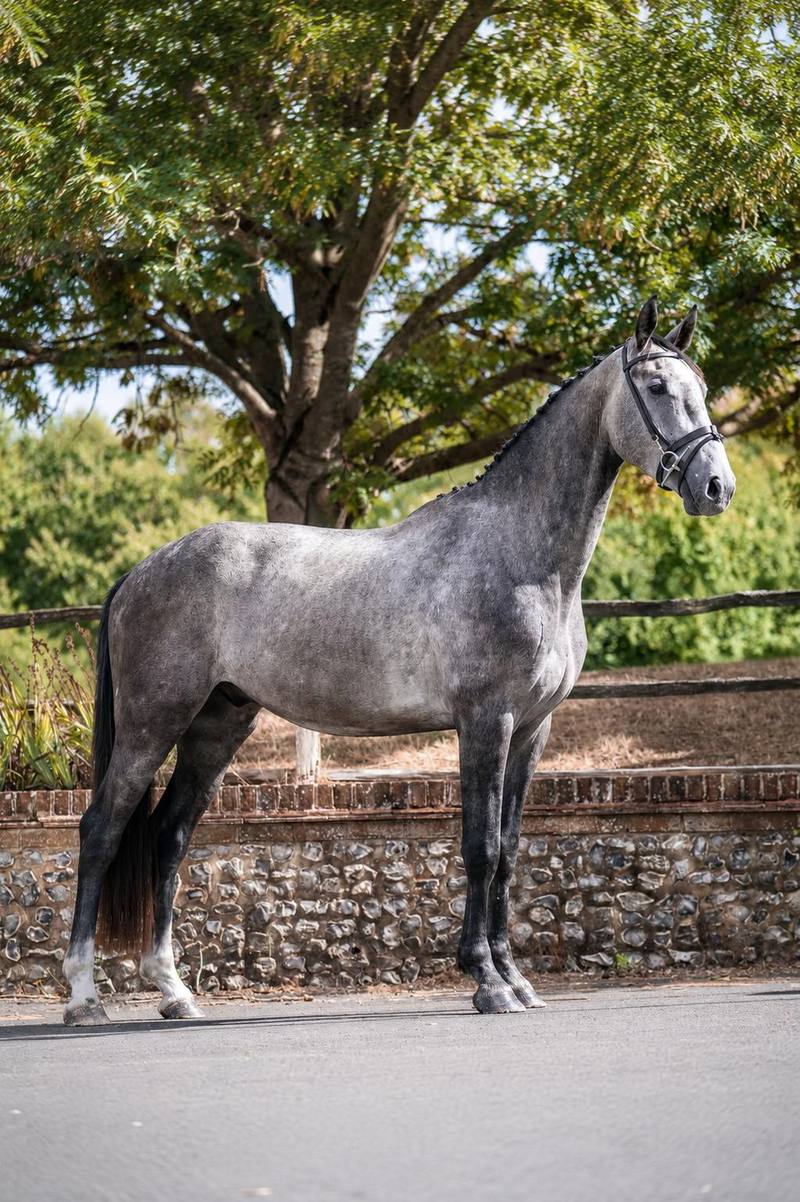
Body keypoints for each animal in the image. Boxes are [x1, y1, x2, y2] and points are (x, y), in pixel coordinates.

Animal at [63, 296, 735, 1024]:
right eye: (658, 388)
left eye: (702, 387)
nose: (716, 487)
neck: (523, 557)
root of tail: (141, 571)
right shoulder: (486, 722)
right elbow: (480, 848)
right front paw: (487, 981)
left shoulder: (533, 729)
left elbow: (511, 851)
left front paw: (517, 979)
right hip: (151, 725)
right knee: (101, 832)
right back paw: (83, 996)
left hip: (218, 724)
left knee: (169, 837)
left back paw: (175, 992)